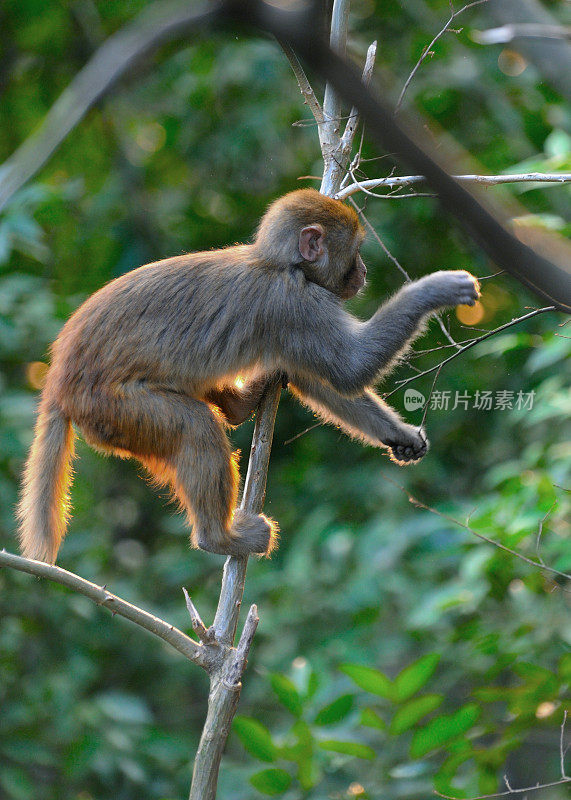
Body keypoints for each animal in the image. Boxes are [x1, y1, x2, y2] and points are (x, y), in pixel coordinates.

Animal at [17, 188, 480, 564]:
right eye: (356, 252)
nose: (364, 271)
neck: (279, 264)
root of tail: (57, 384)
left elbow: (321, 381)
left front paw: (398, 434)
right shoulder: (294, 304)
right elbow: (350, 367)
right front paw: (433, 291)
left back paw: (240, 405)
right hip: (112, 408)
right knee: (194, 426)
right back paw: (219, 538)